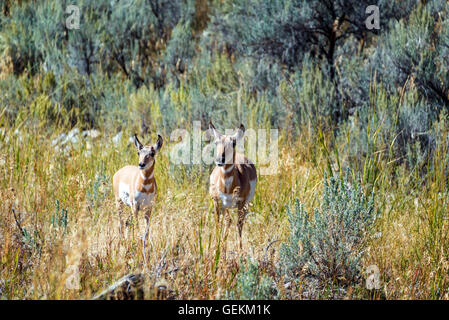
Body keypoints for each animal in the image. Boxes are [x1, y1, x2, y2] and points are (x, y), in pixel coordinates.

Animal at [209, 121, 258, 249]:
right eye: (216, 142)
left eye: (234, 143)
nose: (220, 160)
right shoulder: (217, 202)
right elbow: (219, 223)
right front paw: (217, 248)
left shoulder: (240, 203)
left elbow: (238, 224)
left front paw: (240, 251)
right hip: (225, 207)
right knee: (227, 221)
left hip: (243, 205)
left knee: (237, 221)